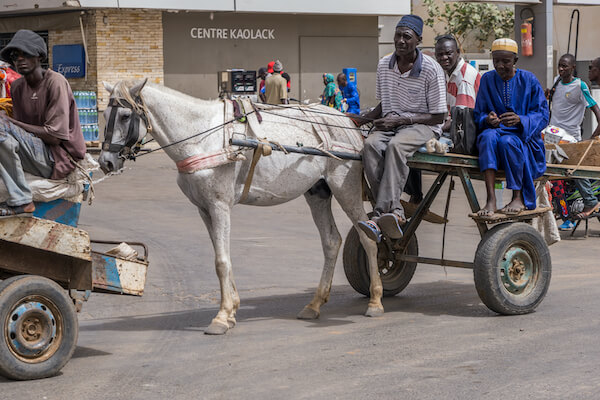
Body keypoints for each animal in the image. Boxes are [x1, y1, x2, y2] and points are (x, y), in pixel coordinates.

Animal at [98, 78, 380, 334]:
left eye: (125, 116)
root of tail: (347, 122)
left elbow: (221, 261)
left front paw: (222, 317)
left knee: (367, 238)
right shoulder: (204, 209)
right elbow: (221, 257)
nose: (106, 162)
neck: (203, 137)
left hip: (345, 187)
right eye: (105, 114)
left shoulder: (219, 205)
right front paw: (231, 309)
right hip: (317, 192)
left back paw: (375, 300)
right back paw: (315, 304)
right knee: (331, 241)